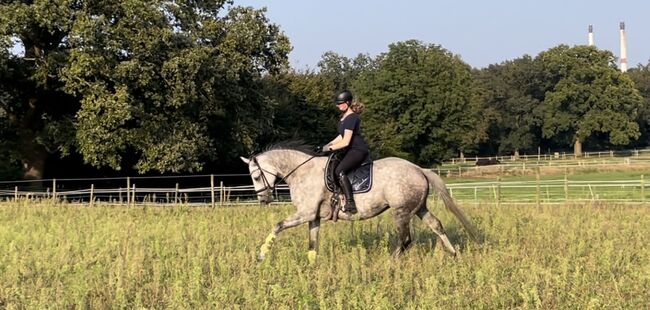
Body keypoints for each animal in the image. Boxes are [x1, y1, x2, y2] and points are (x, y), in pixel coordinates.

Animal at [240, 144, 478, 262]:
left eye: (256, 176)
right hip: (418, 208)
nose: (264, 200)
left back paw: (388, 263)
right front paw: (311, 267)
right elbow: (312, 243)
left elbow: (277, 226)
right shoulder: (313, 217)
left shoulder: (305, 214)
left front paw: (261, 256)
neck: (302, 172)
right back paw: (454, 255)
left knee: (405, 240)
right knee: (436, 225)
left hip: (401, 212)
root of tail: (419, 169)